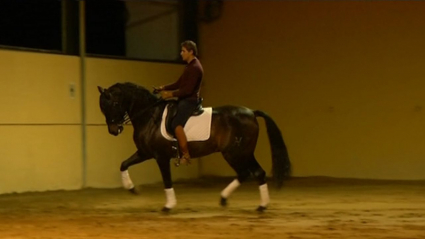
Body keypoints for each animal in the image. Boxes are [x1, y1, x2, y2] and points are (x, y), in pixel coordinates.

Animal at [97, 82, 290, 211]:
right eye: (102, 108)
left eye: (114, 104)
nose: (114, 130)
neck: (150, 116)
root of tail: (251, 112)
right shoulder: (145, 152)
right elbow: (123, 164)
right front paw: (132, 188)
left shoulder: (160, 156)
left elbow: (167, 179)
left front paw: (169, 205)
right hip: (238, 153)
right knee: (247, 173)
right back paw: (227, 199)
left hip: (238, 153)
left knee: (255, 173)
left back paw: (261, 205)